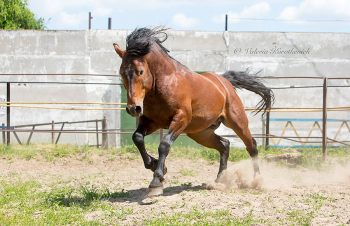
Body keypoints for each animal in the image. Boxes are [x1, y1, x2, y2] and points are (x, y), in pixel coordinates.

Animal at [113, 26, 274, 196]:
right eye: (122, 72)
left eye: (141, 71)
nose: (133, 108)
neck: (164, 84)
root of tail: (224, 82)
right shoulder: (152, 122)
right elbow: (137, 138)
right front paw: (155, 164)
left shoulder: (181, 119)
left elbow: (164, 145)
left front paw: (157, 181)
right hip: (200, 133)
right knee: (225, 145)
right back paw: (219, 181)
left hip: (237, 122)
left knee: (252, 146)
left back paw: (257, 180)